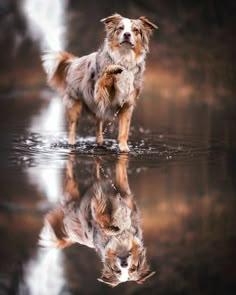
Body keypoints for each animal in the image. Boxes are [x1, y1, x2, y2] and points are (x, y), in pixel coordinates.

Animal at [38, 155, 155, 286]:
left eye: (133, 269)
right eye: (117, 270)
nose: (124, 263)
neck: (121, 238)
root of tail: (70, 235)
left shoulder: (125, 196)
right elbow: (102, 218)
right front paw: (102, 207)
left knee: (94, 175)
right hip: (71, 191)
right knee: (72, 172)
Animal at [41, 13, 158, 153]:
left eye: (135, 30)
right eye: (120, 28)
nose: (127, 34)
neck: (124, 57)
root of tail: (75, 61)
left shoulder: (127, 105)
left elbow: (124, 130)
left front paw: (124, 149)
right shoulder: (100, 92)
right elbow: (106, 75)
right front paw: (113, 68)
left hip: (98, 110)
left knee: (98, 126)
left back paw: (100, 142)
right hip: (74, 104)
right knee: (72, 128)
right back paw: (72, 143)